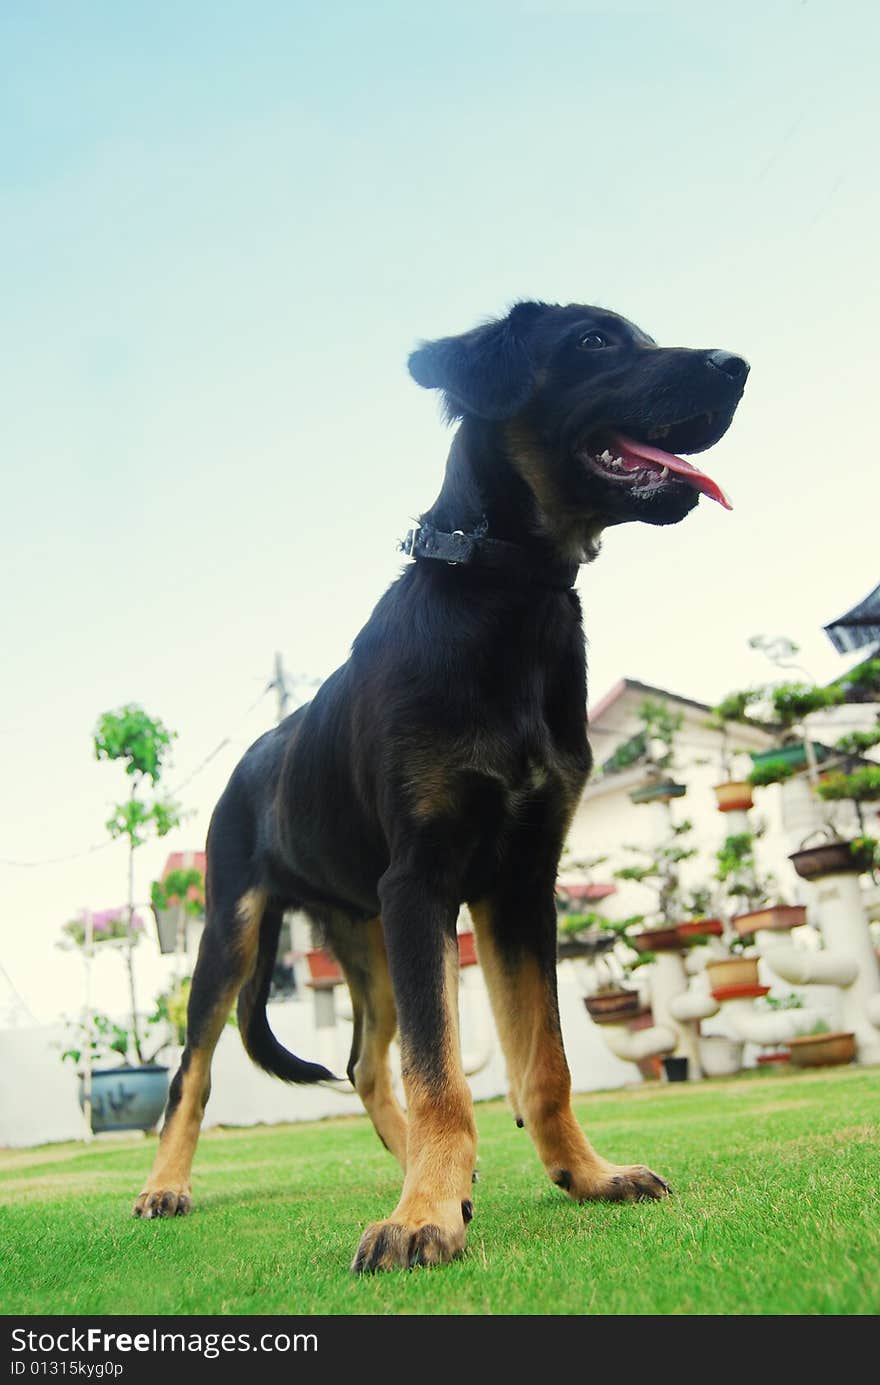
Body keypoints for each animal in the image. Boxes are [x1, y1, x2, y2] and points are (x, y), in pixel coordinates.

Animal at [135, 303, 748, 1274]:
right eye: (594, 342)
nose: (738, 366)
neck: (508, 593)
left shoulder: (518, 885)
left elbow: (542, 1063)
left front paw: (582, 1175)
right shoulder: (422, 882)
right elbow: (442, 1070)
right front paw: (424, 1212)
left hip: (369, 940)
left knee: (363, 1061)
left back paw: (421, 1162)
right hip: (234, 930)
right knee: (192, 1071)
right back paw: (168, 1186)